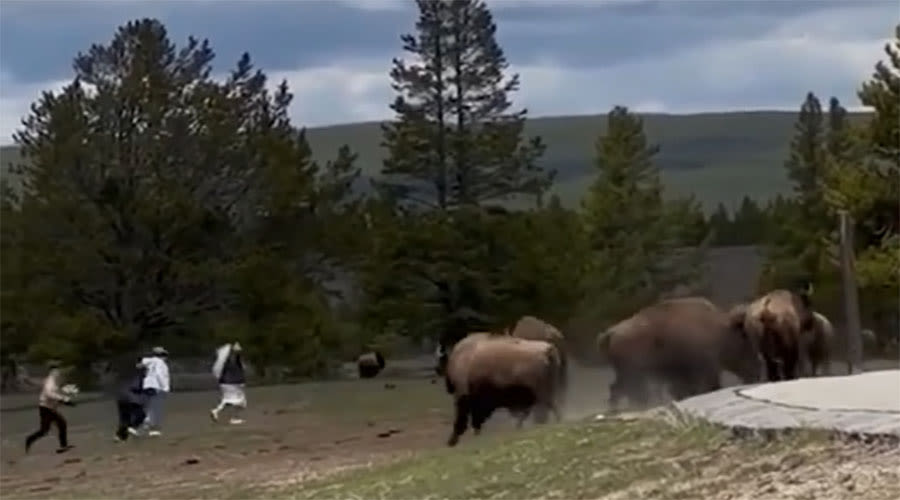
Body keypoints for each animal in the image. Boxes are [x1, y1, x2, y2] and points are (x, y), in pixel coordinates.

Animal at [596, 296, 764, 410]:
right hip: (633, 373)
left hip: (626, 373)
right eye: (746, 341)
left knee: (617, 388)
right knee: (630, 390)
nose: (756, 372)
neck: (719, 330)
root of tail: (611, 333)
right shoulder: (705, 368)